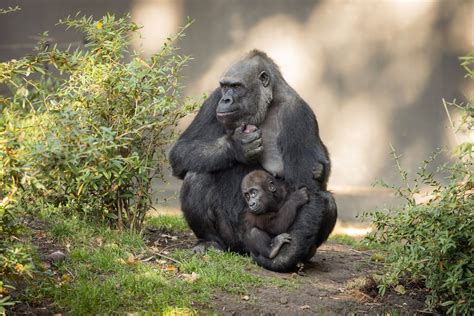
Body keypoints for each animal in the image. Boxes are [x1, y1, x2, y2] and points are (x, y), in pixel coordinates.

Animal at [168, 50, 336, 272]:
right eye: (224, 86)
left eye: (237, 86)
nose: (226, 100)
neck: (270, 102)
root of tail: (243, 251)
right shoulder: (213, 99)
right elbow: (180, 151)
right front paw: (236, 146)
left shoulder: (299, 115)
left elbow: (309, 189)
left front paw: (283, 259)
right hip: (231, 241)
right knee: (197, 174)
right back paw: (209, 241)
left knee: (328, 201)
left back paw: (303, 254)